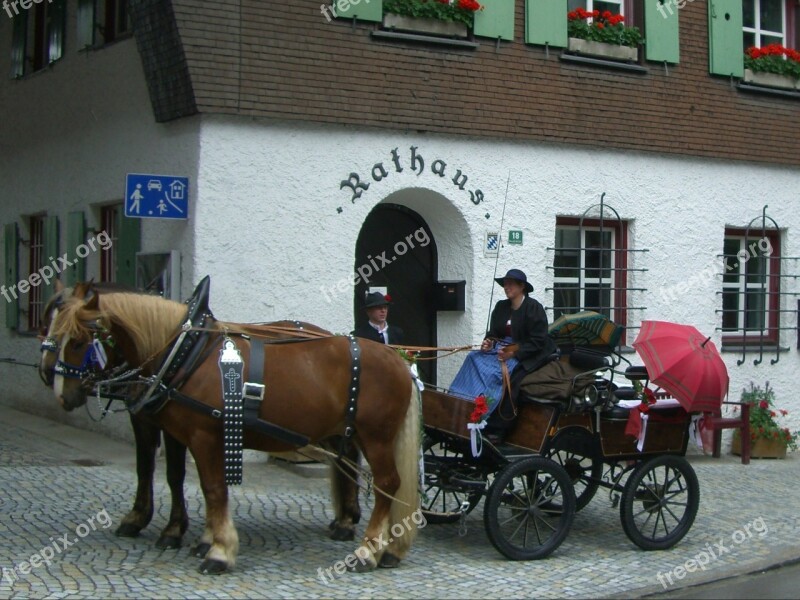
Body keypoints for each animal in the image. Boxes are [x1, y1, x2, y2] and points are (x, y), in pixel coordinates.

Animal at [48, 288, 418, 576]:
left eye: (79, 341)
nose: (62, 394)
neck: (187, 352)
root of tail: (399, 360)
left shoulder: (203, 434)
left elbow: (212, 489)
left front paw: (219, 552)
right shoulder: (192, 435)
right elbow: (195, 483)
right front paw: (205, 539)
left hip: (376, 437)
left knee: (387, 484)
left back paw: (369, 551)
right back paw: (380, 543)